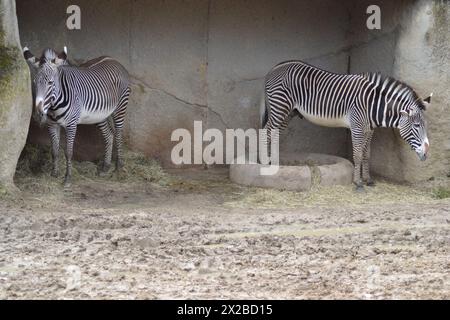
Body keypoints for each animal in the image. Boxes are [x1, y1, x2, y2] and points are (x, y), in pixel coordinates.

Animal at [23, 47, 131, 188]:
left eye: (50, 83)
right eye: (35, 83)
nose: (38, 114)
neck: (55, 105)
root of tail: (113, 60)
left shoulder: (71, 125)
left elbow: (69, 152)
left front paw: (68, 178)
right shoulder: (52, 125)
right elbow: (54, 150)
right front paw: (54, 174)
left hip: (120, 108)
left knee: (118, 135)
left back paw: (119, 168)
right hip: (99, 115)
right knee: (109, 134)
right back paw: (105, 167)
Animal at [262, 60, 430, 190]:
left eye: (424, 125)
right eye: (416, 125)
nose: (426, 154)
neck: (373, 105)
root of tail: (276, 67)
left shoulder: (369, 130)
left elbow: (367, 154)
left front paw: (368, 179)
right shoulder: (357, 127)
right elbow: (357, 154)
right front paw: (358, 182)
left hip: (289, 112)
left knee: (274, 133)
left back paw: (272, 160)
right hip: (280, 106)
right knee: (266, 131)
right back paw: (266, 162)